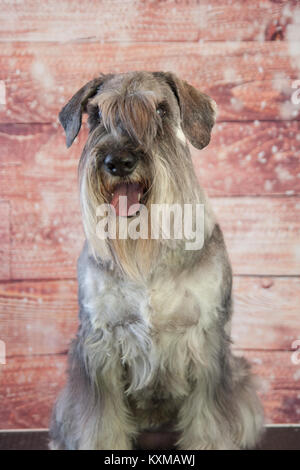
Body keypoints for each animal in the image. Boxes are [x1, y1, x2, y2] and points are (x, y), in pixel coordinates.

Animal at [49, 71, 264, 450]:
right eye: (96, 116)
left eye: (161, 111)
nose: (119, 161)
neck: (147, 253)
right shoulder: (100, 343)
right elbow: (99, 424)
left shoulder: (206, 338)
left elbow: (210, 421)